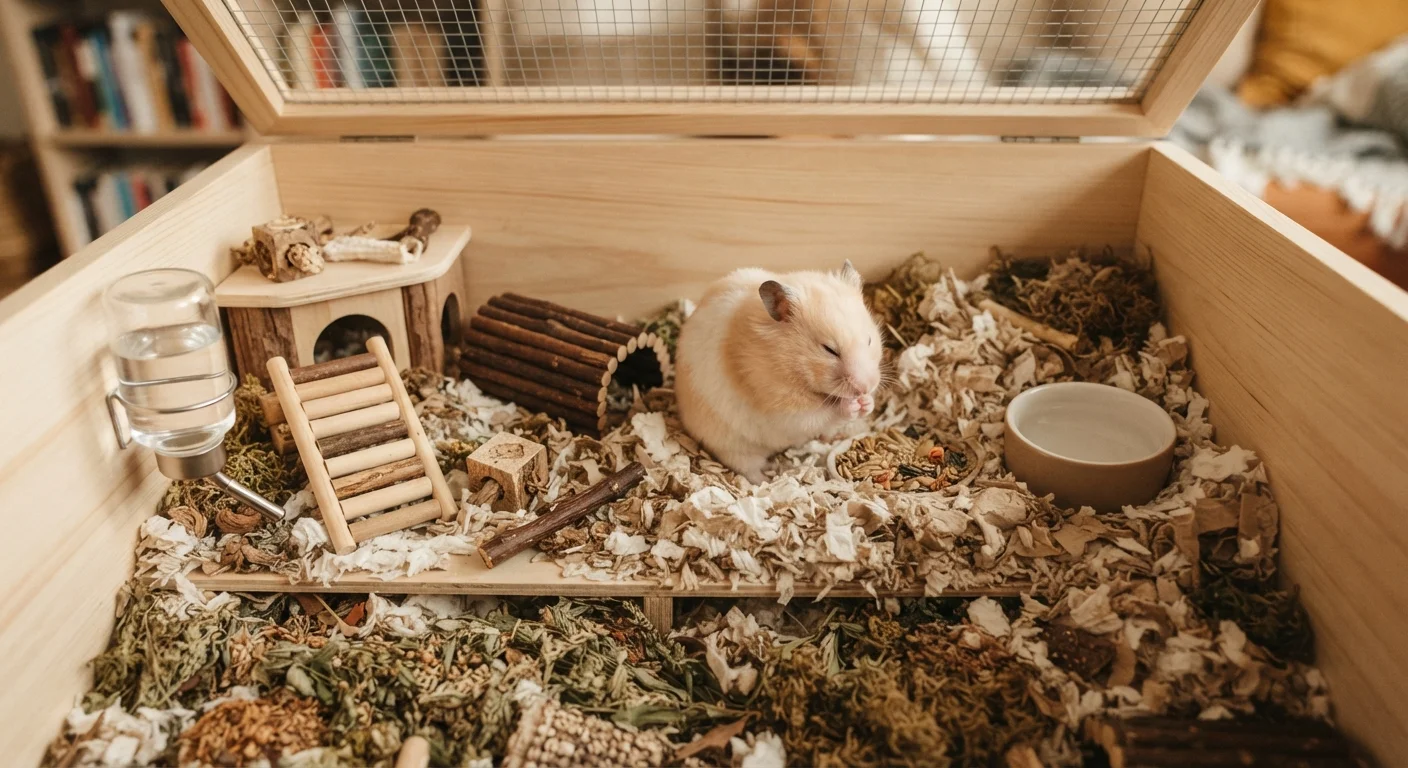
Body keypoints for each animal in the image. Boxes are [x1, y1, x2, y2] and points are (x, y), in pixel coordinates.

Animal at [675, 260, 884, 483]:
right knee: (747, 468)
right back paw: (767, 478)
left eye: (869, 340)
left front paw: (866, 403)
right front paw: (850, 405)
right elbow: (822, 414)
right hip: (733, 446)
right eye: (829, 350)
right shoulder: (784, 411)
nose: (866, 387)